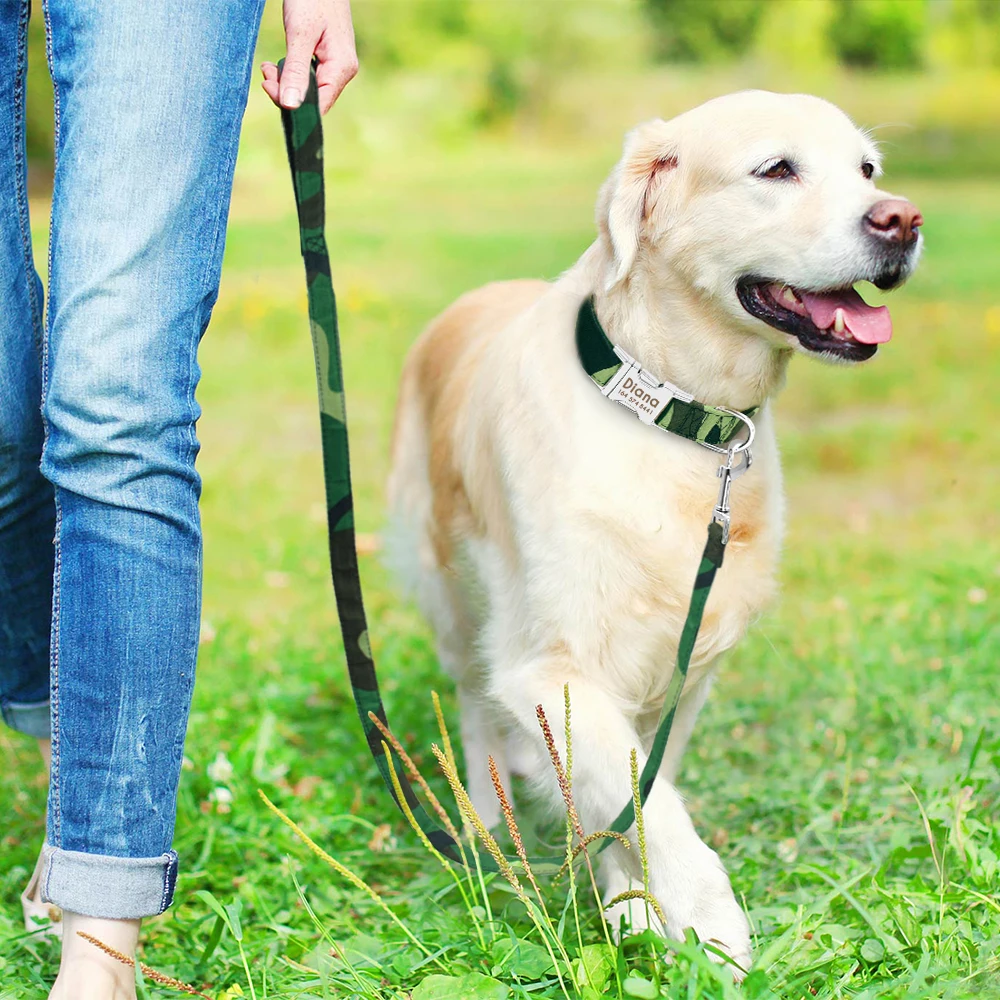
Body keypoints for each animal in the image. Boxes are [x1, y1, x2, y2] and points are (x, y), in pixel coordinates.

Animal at [382, 92, 920, 968]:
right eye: (777, 168)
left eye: (868, 170)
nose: (902, 219)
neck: (677, 415)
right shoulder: (548, 662)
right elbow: (651, 804)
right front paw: (713, 930)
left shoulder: (686, 665)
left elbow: (631, 792)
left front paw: (632, 904)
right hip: (451, 594)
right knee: (471, 702)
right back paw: (485, 822)